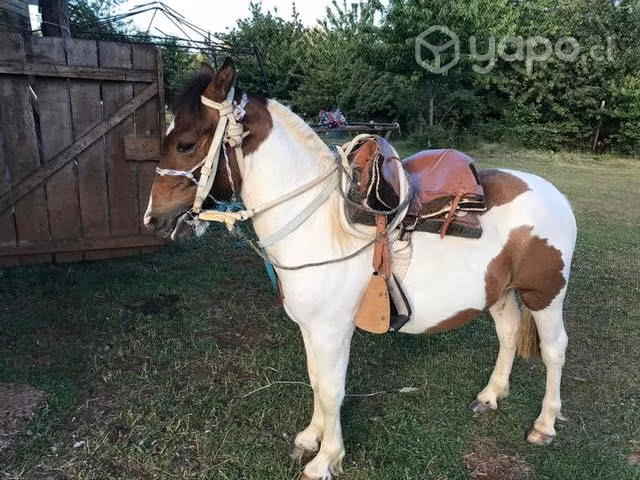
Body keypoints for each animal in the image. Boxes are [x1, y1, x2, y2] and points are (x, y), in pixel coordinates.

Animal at [143, 59, 576, 480]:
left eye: (185, 144)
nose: (153, 219)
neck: (323, 222)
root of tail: (556, 195)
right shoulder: (310, 327)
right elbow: (316, 380)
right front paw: (311, 437)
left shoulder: (333, 330)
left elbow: (332, 390)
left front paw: (326, 460)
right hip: (500, 292)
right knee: (508, 335)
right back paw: (490, 396)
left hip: (546, 296)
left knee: (555, 349)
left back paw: (544, 425)